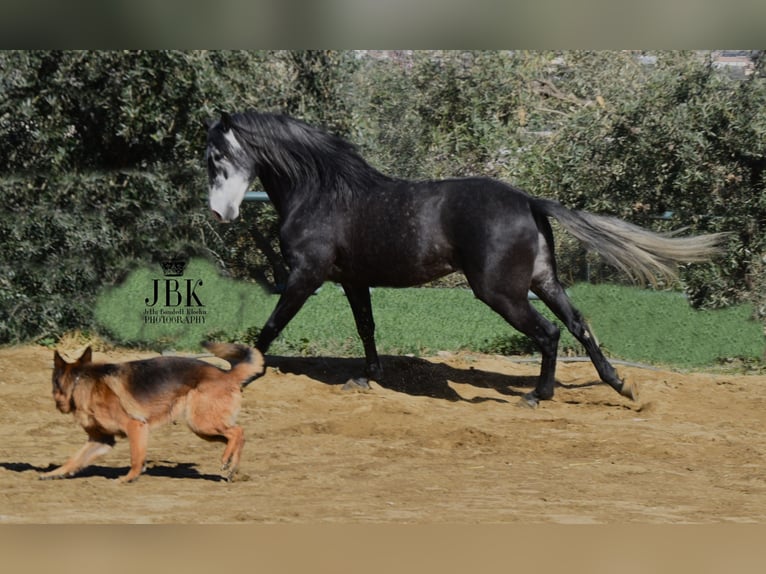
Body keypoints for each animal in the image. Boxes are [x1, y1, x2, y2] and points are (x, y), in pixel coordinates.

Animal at [204, 110, 727, 406]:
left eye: (215, 155)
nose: (219, 213)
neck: (323, 194)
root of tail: (528, 201)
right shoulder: (352, 280)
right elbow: (366, 327)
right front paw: (367, 379)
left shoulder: (306, 275)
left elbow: (270, 326)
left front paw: (240, 373)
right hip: (542, 281)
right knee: (578, 324)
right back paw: (621, 386)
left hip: (500, 292)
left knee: (550, 333)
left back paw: (537, 396)